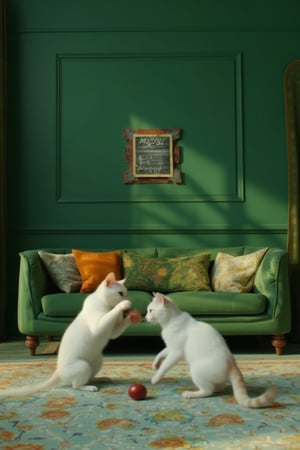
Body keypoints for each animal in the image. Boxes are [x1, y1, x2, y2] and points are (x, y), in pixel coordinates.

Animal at [0, 272, 141, 400]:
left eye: (126, 293)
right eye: (120, 293)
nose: (126, 298)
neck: (105, 303)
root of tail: (58, 371)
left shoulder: (113, 332)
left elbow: (116, 329)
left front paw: (131, 316)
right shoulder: (98, 327)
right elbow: (110, 314)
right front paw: (123, 305)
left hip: (97, 361)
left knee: (89, 378)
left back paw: (102, 379)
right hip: (83, 365)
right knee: (76, 385)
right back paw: (90, 388)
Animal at [145, 292, 276, 408]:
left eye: (150, 310)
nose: (145, 317)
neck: (170, 322)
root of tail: (232, 363)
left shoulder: (176, 352)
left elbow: (165, 366)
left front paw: (156, 378)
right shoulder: (170, 347)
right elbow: (161, 353)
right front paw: (155, 364)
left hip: (195, 369)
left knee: (208, 391)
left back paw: (190, 394)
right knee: (217, 387)